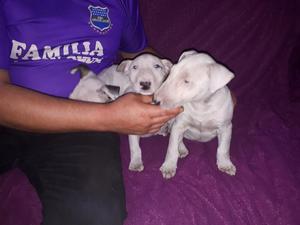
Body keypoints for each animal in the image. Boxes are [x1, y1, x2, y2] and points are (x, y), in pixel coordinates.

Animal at [155, 50, 237, 178]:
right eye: (171, 72)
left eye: (186, 81)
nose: (155, 101)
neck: (201, 106)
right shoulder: (179, 125)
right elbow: (172, 147)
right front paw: (168, 167)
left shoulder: (226, 127)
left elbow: (223, 148)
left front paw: (226, 165)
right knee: (175, 136)